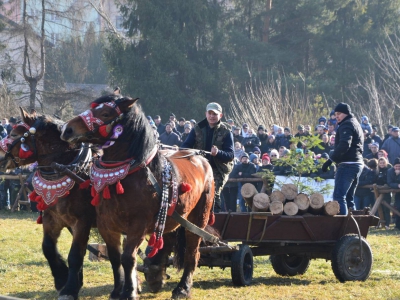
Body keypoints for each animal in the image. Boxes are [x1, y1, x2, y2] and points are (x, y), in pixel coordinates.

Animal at [0, 108, 95, 300]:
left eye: (13, 134)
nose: (0, 157)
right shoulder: (52, 218)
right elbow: (48, 248)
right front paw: (62, 279)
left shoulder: (82, 221)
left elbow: (75, 254)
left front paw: (69, 289)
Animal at [60, 95, 214, 298]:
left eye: (106, 113)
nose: (67, 129)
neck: (126, 175)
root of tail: (201, 158)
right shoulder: (106, 225)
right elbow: (115, 258)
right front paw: (118, 290)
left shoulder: (138, 226)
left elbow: (128, 258)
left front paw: (129, 291)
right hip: (171, 217)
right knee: (167, 241)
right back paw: (157, 275)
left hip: (198, 219)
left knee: (192, 253)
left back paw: (183, 288)